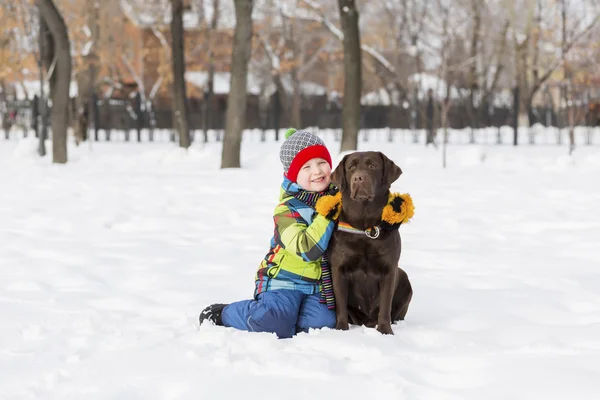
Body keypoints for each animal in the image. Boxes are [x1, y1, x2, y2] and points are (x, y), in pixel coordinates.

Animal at [328, 152, 412, 332]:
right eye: (351, 167)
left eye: (373, 166)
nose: (358, 178)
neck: (365, 227)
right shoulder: (338, 269)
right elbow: (340, 305)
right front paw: (341, 329)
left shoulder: (389, 270)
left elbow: (385, 305)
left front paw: (385, 331)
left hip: (403, 276)